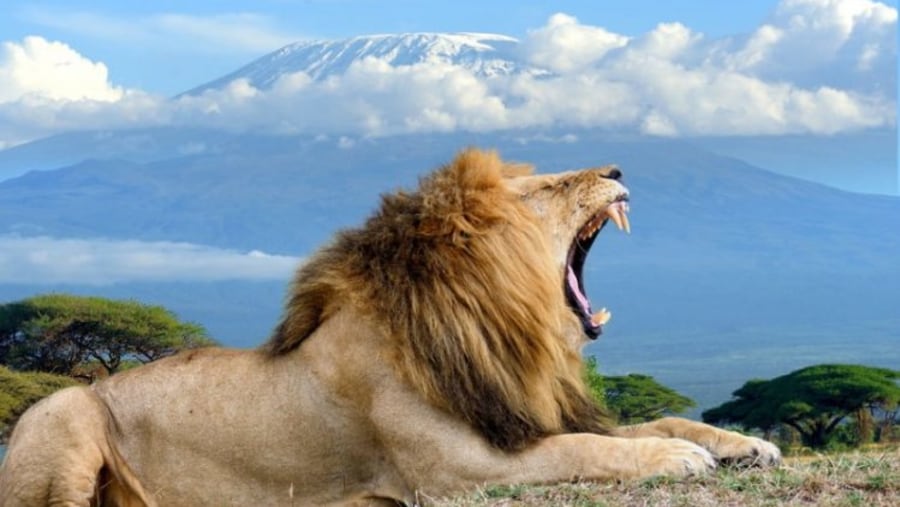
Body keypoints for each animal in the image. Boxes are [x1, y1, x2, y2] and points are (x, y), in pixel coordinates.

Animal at [0, 149, 780, 506]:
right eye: (554, 186)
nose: (616, 168)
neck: (501, 329)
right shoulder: (460, 469)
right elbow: (588, 447)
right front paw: (676, 458)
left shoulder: (518, 413)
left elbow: (654, 419)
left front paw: (744, 443)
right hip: (65, 411)